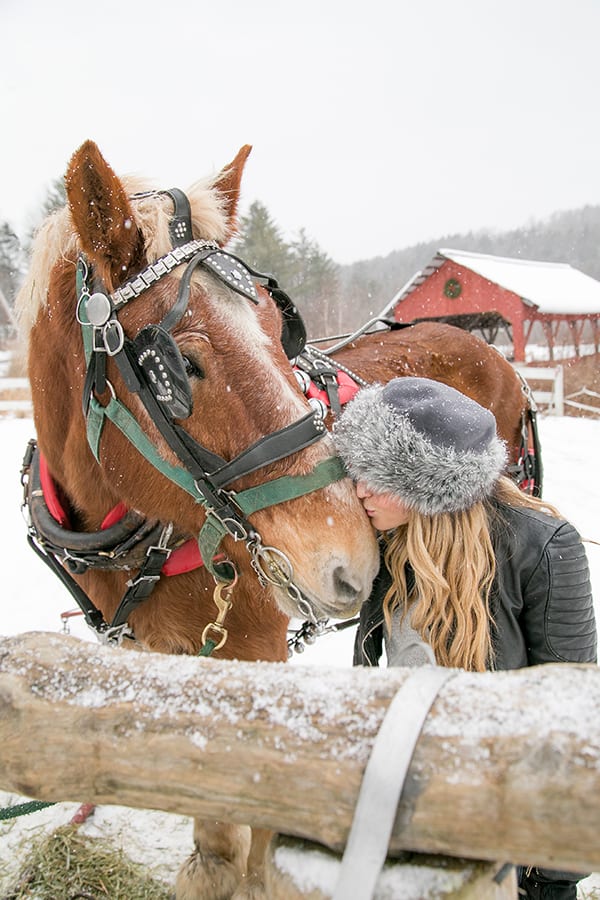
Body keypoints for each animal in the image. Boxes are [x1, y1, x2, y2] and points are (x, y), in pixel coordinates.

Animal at [17, 141, 536, 900]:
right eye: (182, 365)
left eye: (276, 329)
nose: (352, 555)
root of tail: (487, 346)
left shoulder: (255, 660)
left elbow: (250, 837)